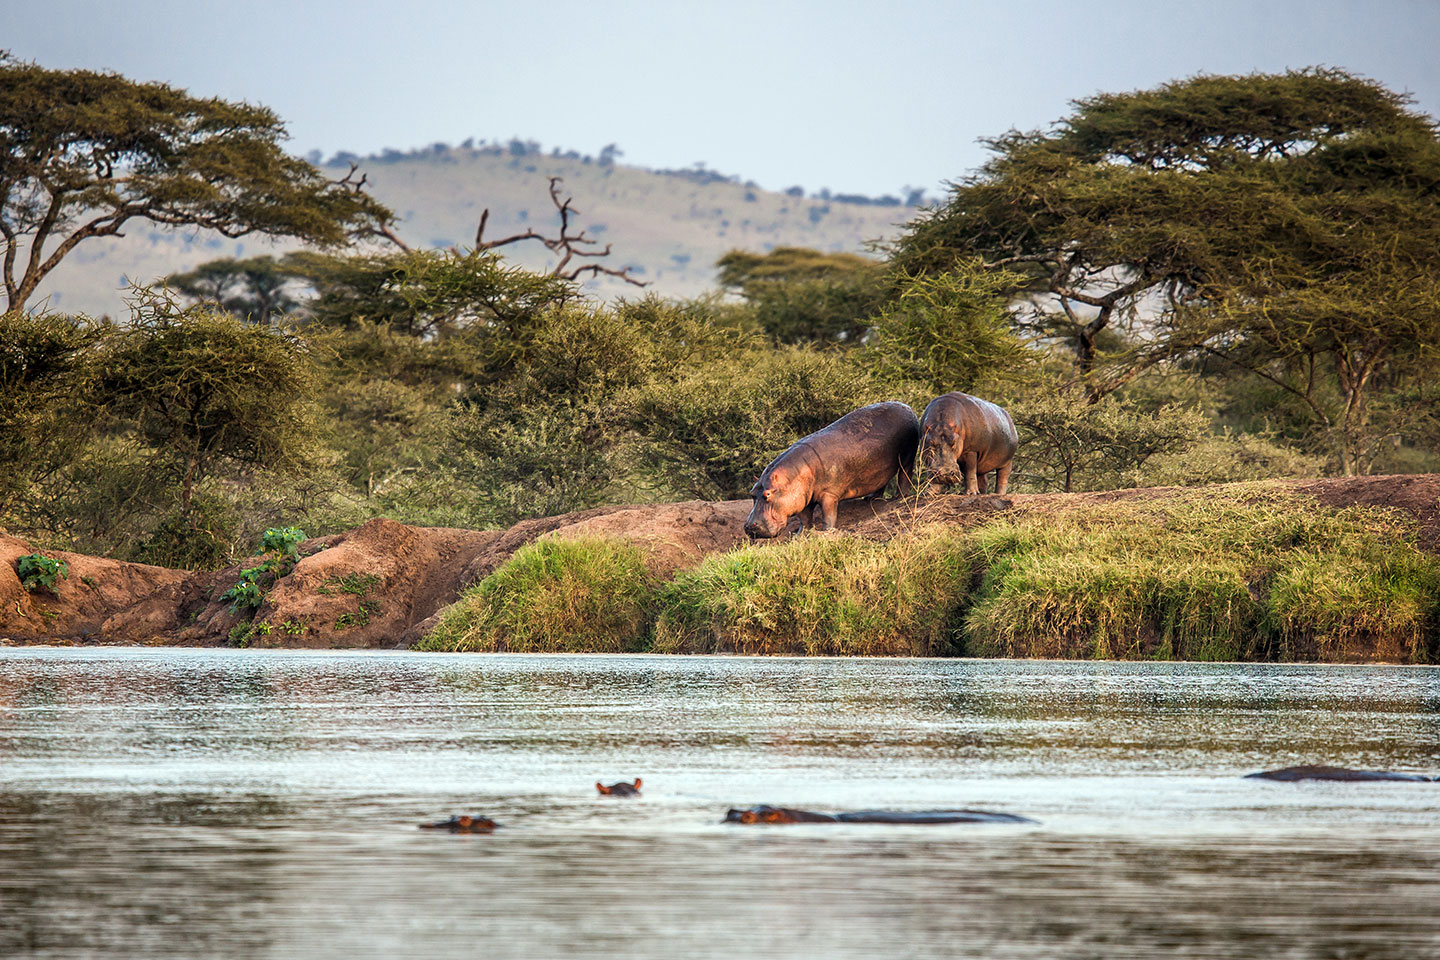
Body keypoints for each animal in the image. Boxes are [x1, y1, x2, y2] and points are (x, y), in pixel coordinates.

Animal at [744, 401, 920, 538]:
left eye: (767, 495)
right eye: (752, 494)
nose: (748, 526)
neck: (795, 475)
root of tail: (907, 407)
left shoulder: (829, 494)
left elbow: (828, 514)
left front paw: (826, 532)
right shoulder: (803, 498)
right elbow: (804, 518)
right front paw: (799, 535)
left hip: (907, 455)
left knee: (905, 473)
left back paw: (899, 497)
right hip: (878, 469)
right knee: (881, 482)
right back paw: (870, 499)